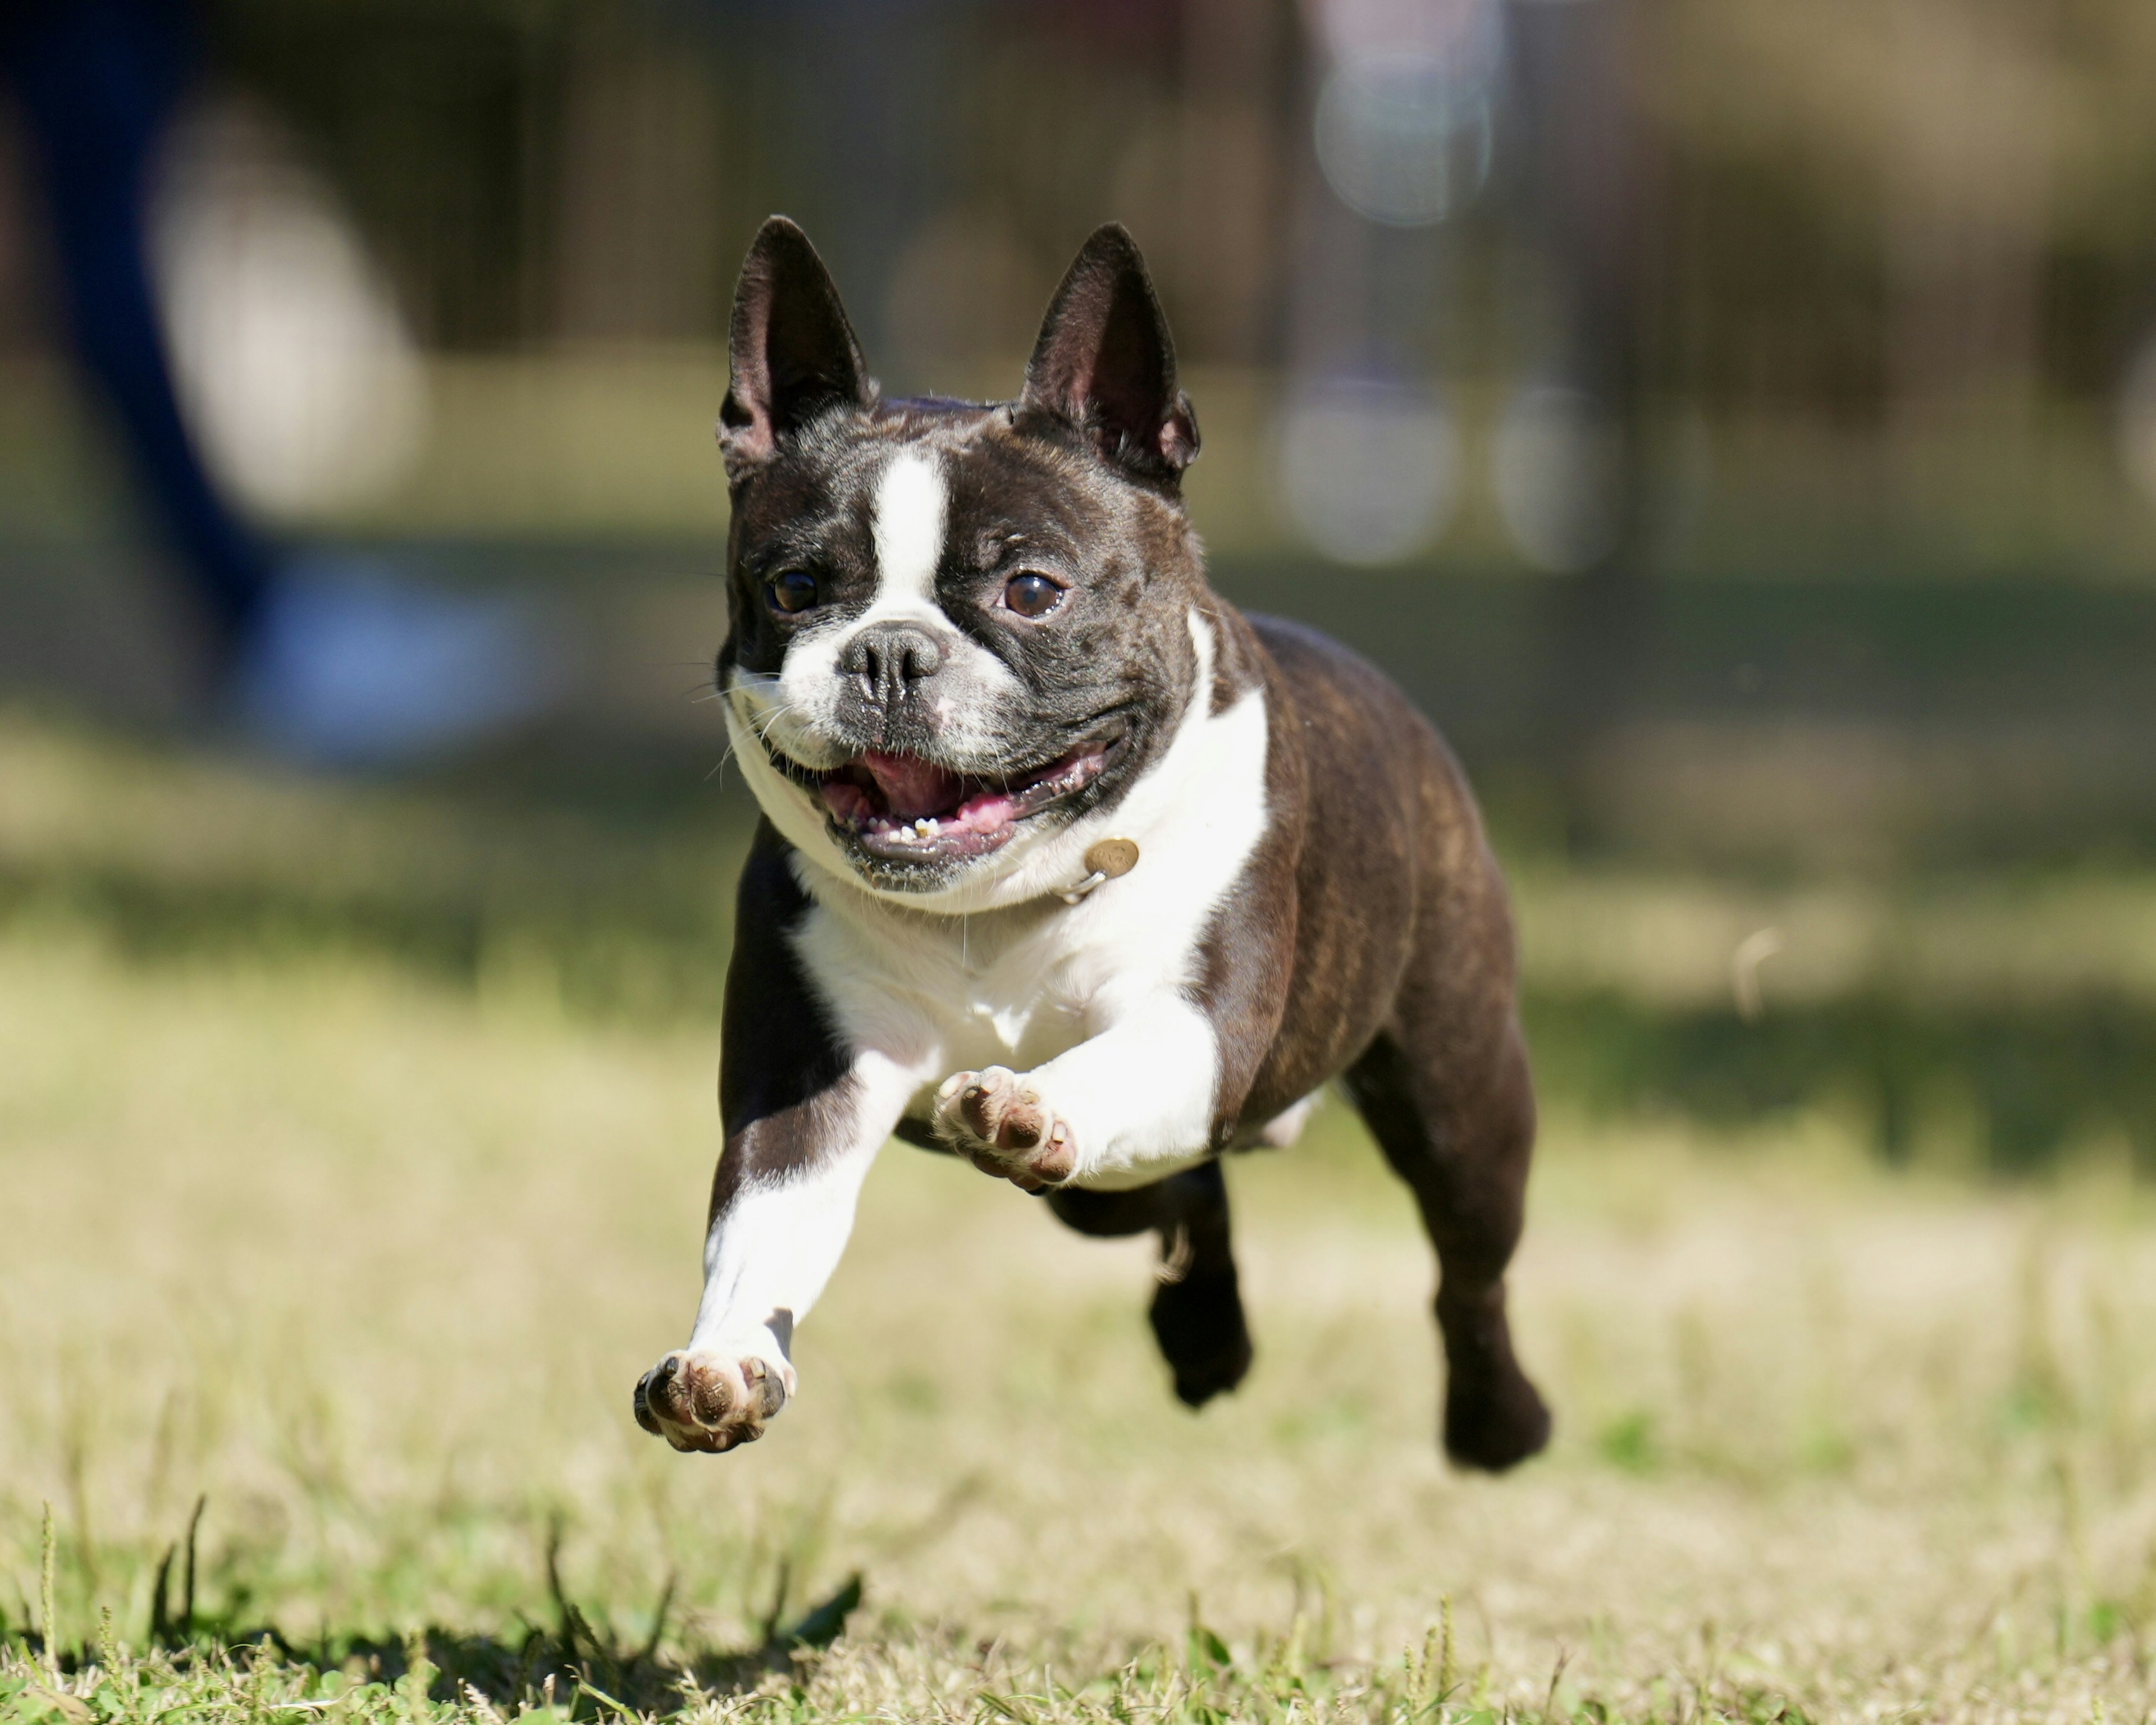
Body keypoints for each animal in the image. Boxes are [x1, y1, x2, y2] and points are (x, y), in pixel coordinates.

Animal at [629, 209, 1552, 1466]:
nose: (889, 653)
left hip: (1462, 1089)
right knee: (1186, 1200)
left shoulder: (1196, 1033)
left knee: (1469, 1264)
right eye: (797, 587)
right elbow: (760, 1228)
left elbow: (1111, 1066)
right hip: (1106, 1200)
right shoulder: (808, 1087)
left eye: (1031, 589)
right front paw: (725, 1360)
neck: (996, 906)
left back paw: (1497, 1421)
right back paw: (1207, 1340)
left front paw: (1034, 1103)